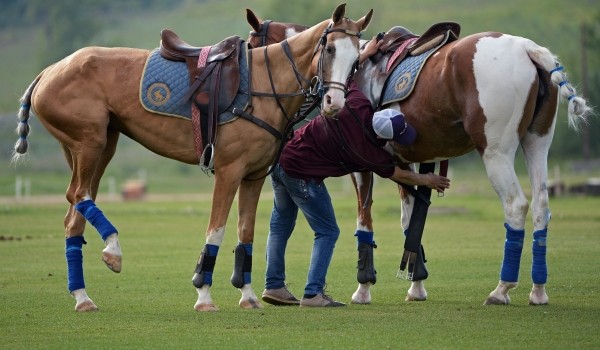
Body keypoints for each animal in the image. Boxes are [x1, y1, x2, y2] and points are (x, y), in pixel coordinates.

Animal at [11, 3, 372, 312]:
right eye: (329, 50)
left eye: (357, 59)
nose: (334, 103)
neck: (262, 85)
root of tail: (48, 71)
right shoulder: (229, 170)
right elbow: (217, 230)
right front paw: (204, 294)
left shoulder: (254, 176)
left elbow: (246, 233)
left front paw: (248, 296)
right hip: (90, 141)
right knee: (77, 193)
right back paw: (113, 249)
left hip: (99, 146)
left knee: (74, 212)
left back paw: (83, 297)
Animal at [246, 10, 592, 306]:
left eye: (250, 46)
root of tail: (527, 48)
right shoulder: (403, 160)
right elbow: (411, 219)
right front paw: (417, 284)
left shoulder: (361, 166)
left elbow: (365, 221)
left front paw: (364, 288)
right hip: (537, 143)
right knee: (542, 206)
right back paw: (538, 291)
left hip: (496, 152)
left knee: (516, 205)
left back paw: (501, 289)